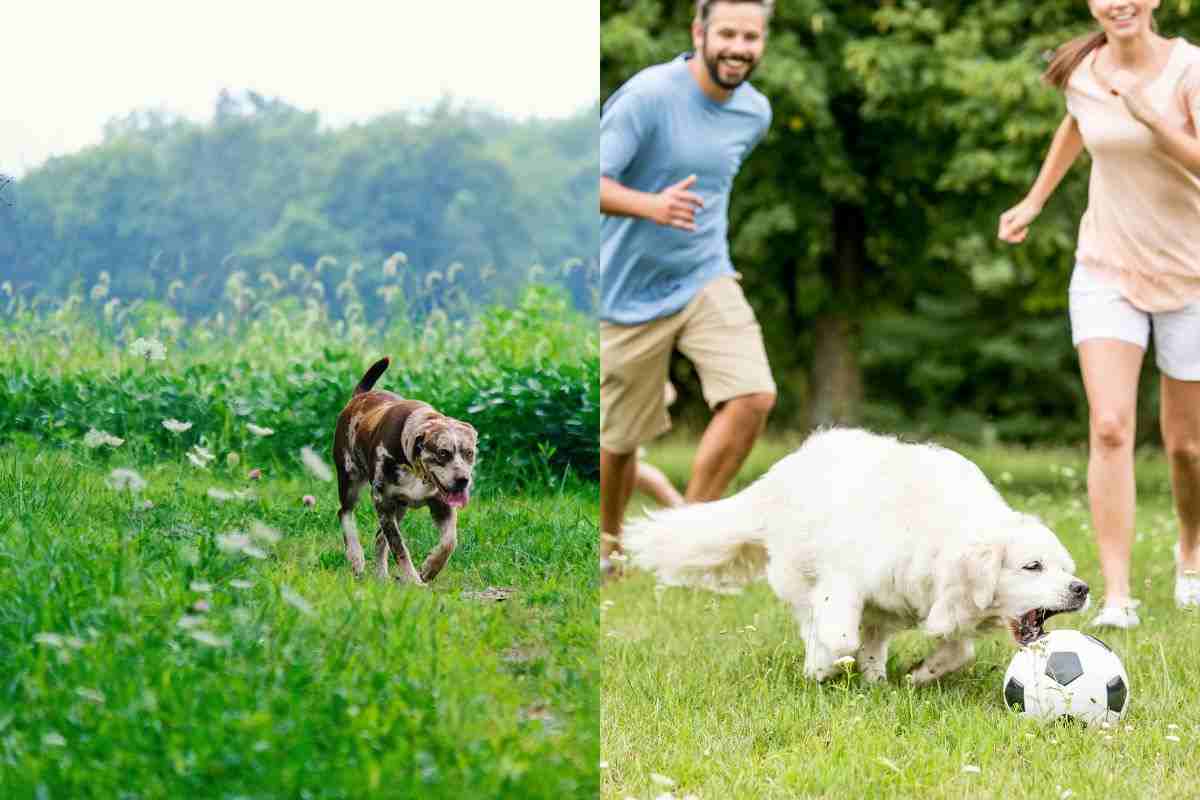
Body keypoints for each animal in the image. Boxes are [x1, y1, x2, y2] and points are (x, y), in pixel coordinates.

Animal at [333, 359, 477, 585]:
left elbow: (449, 542)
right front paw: (413, 579)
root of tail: (358, 397)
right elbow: (399, 547)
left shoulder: (440, 504)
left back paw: (382, 576)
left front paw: (429, 569)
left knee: (378, 537)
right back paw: (356, 558)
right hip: (350, 479)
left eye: (469, 452)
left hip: (399, 508)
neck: (415, 469)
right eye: (443, 453)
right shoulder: (382, 501)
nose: (463, 480)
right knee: (345, 513)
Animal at [624, 429, 1094, 686]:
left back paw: (875, 679)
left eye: (1067, 568)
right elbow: (839, 637)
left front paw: (920, 676)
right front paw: (823, 667)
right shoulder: (844, 581)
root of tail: (784, 470)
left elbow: (959, 651)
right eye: (1033, 566)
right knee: (819, 622)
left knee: (872, 640)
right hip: (803, 575)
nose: (1082, 588)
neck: (938, 536)